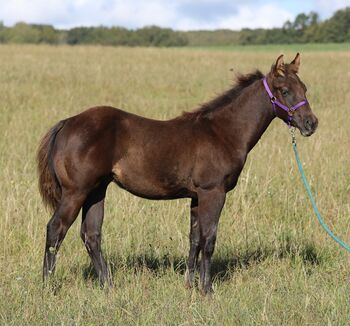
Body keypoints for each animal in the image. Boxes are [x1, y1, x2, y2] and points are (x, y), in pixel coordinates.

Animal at [37, 52, 318, 292]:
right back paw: (48, 286)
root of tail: (67, 123)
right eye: (284, 91)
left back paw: (108, 286)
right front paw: (207, 289)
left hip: (96, 191)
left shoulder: (196, 197)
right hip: (76, 192)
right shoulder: (213, 192)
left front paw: (189, 284)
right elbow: (209, 239)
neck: (222, 132)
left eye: (305, 88)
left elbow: (194, 239)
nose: (310, 124)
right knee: (56, 229)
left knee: (91, 235)